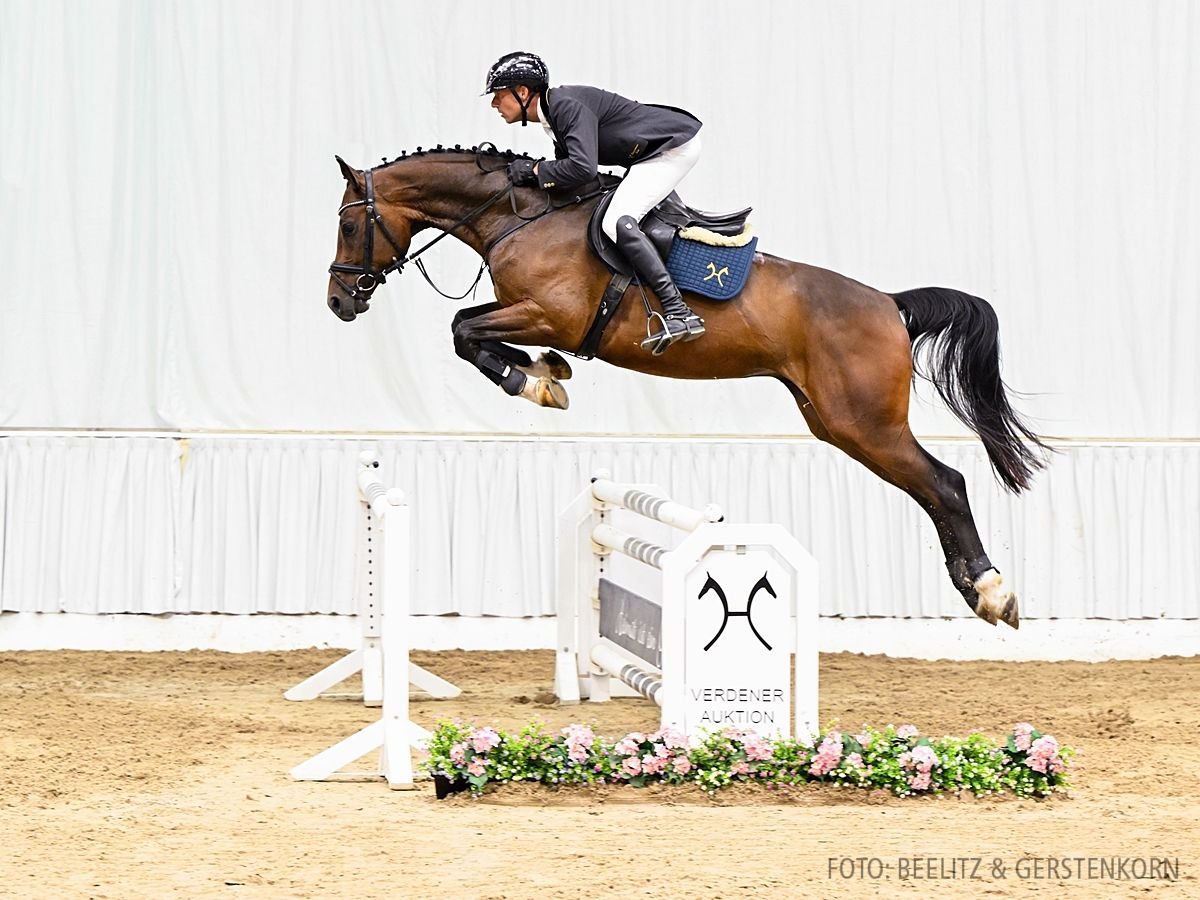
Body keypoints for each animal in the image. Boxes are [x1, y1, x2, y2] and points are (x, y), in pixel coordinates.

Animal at [328, 144, 1051, 628]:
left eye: (347, 224)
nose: (339, 302)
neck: (522, 215)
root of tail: (889, 304)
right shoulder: (530, 314)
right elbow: (468, 331)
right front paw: (546, 374)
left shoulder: (548, 313)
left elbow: (462, 329)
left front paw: (533, 381)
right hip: (835, 422)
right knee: (932, 491)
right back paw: (978, 591)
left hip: (864, 423)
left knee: (944, 484)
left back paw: (993, 592)